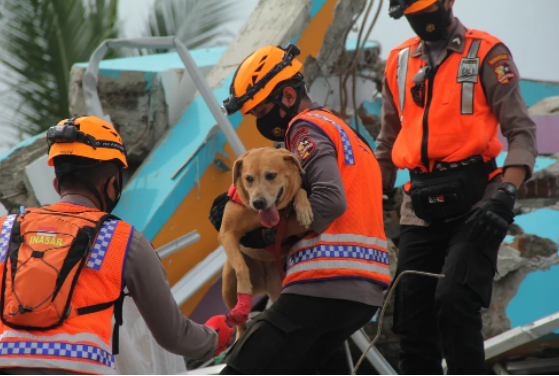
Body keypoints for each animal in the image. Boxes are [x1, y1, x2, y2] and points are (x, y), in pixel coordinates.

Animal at [220, 147, 316, 338]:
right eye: (248, 179)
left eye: (271, 176)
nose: (258, 202)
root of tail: (263, 282)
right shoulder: (226, 233)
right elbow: (241, 267)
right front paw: (244, 291)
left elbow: (300, 191)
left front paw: (303, 208)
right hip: (227, 285)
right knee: (239, 324)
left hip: (278, 286)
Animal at [380, 0, 540, 374]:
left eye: (433, 11)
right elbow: (388, 135)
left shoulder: (497, 58)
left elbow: (518, 128)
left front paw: (498, 209)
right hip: (418, 248)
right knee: (412, 315)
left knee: (454, 297)